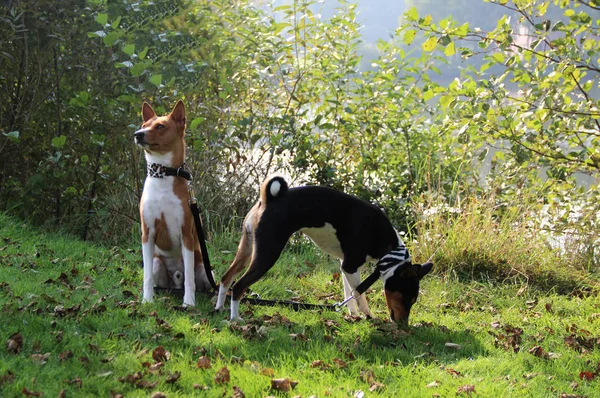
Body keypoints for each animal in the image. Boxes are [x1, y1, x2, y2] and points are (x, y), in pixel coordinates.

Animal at [134, 101, 211, 306]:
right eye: (144, 125)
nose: (137, 134)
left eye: (160, 126)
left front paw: (188, 303)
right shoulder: (147, 233)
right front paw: (147, 300)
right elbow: (146, 276)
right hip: (157, 263)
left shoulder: (186, 234)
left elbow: (190, 278)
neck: (163, 174)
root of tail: (175, 284)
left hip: (206, 270)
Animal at [216, 176, 432, 324]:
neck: (388, 249)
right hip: (267, 254)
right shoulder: (350, 265)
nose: (403, 325)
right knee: (239, 286)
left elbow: (348, 294)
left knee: (226, 278)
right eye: (406, 297)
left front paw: (352, 314)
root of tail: (269, 198)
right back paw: (235, 318)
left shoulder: (346, 266)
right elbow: (358, 294)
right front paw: (367, 315)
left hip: (247, 250)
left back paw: (219, 308)